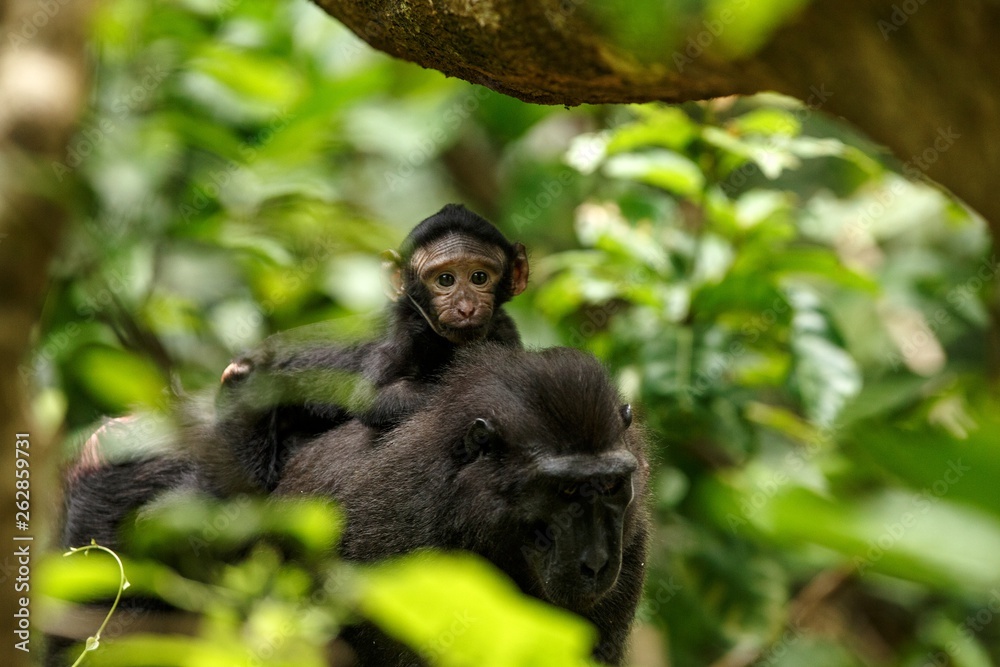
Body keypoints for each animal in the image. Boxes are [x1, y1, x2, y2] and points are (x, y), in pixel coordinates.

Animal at [209, 203, 529, 493]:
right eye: (445, 279)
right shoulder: (400, 332)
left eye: (479, 277)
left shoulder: (505, 330)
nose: (465, 307)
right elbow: (372, 398)